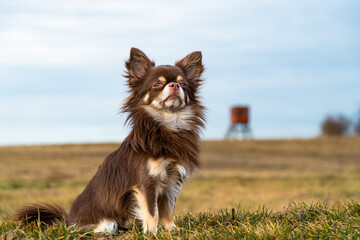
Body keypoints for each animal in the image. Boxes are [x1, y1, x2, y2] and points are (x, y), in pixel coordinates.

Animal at [15, 48, 205, 234]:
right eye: (157, 84)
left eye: (184, 85)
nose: (175, 85)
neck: (169, 125)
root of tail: (67, 221)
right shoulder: (147, 184)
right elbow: (153, 213)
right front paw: (152, 233)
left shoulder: (172, 182)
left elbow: (168, 210)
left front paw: (172, 229)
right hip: (105, 221)